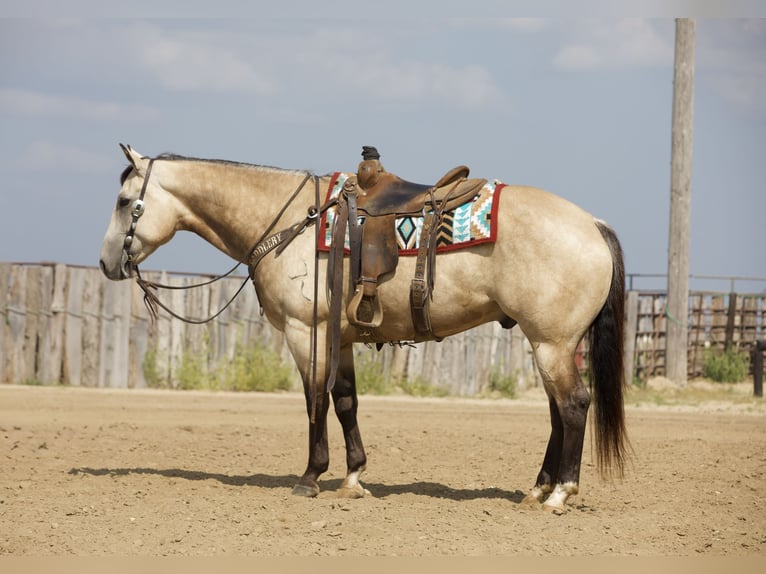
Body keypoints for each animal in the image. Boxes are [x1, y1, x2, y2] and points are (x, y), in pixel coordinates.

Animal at [99, 144, 629, 513]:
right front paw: (353, 478)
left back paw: (559, 494)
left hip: (551, 343)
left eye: (125, 202)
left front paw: (310, 477)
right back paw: (537, 489)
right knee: (558, 411)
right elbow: (346, 401)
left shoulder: (305, 333)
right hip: (549, 344)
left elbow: (314, 400)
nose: (106, 263)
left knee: (573, 405)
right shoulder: (343, 338)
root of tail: (593, 224)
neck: (291, 222)